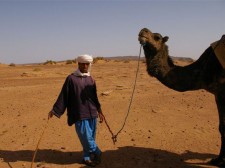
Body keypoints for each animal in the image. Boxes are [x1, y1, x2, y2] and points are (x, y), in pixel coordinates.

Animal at [138, 27, 225, 167]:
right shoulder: (218, 94)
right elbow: (221, 127)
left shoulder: (222, 92)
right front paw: (219, 159)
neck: (202, 71)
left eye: (157, 37)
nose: (143, 31)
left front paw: (220, 160)